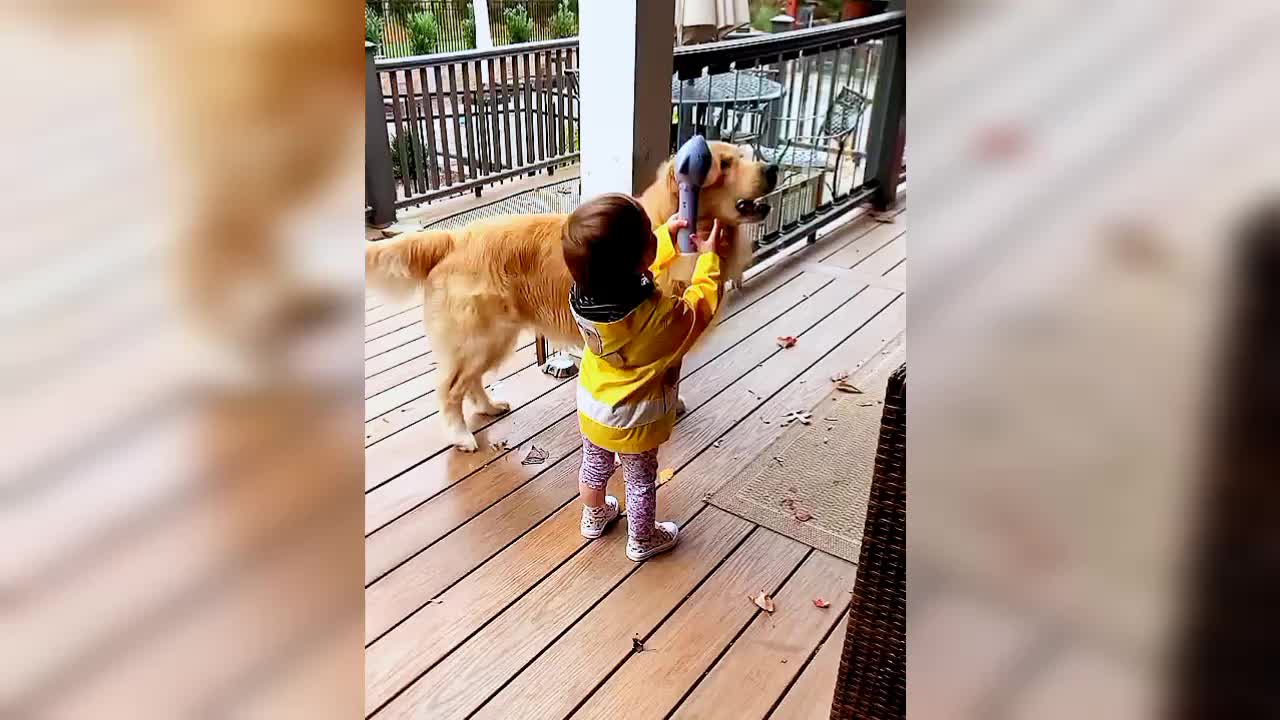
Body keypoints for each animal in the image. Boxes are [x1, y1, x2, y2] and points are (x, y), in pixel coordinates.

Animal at [366, 141, 773, 448]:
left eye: (744, 154)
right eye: (724, 164)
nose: (771, 169)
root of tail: (452, 237)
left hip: (494, 338)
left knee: (471, 382)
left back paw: (488, 407)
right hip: (479, 337)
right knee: (450, 389)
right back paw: (461, 435)